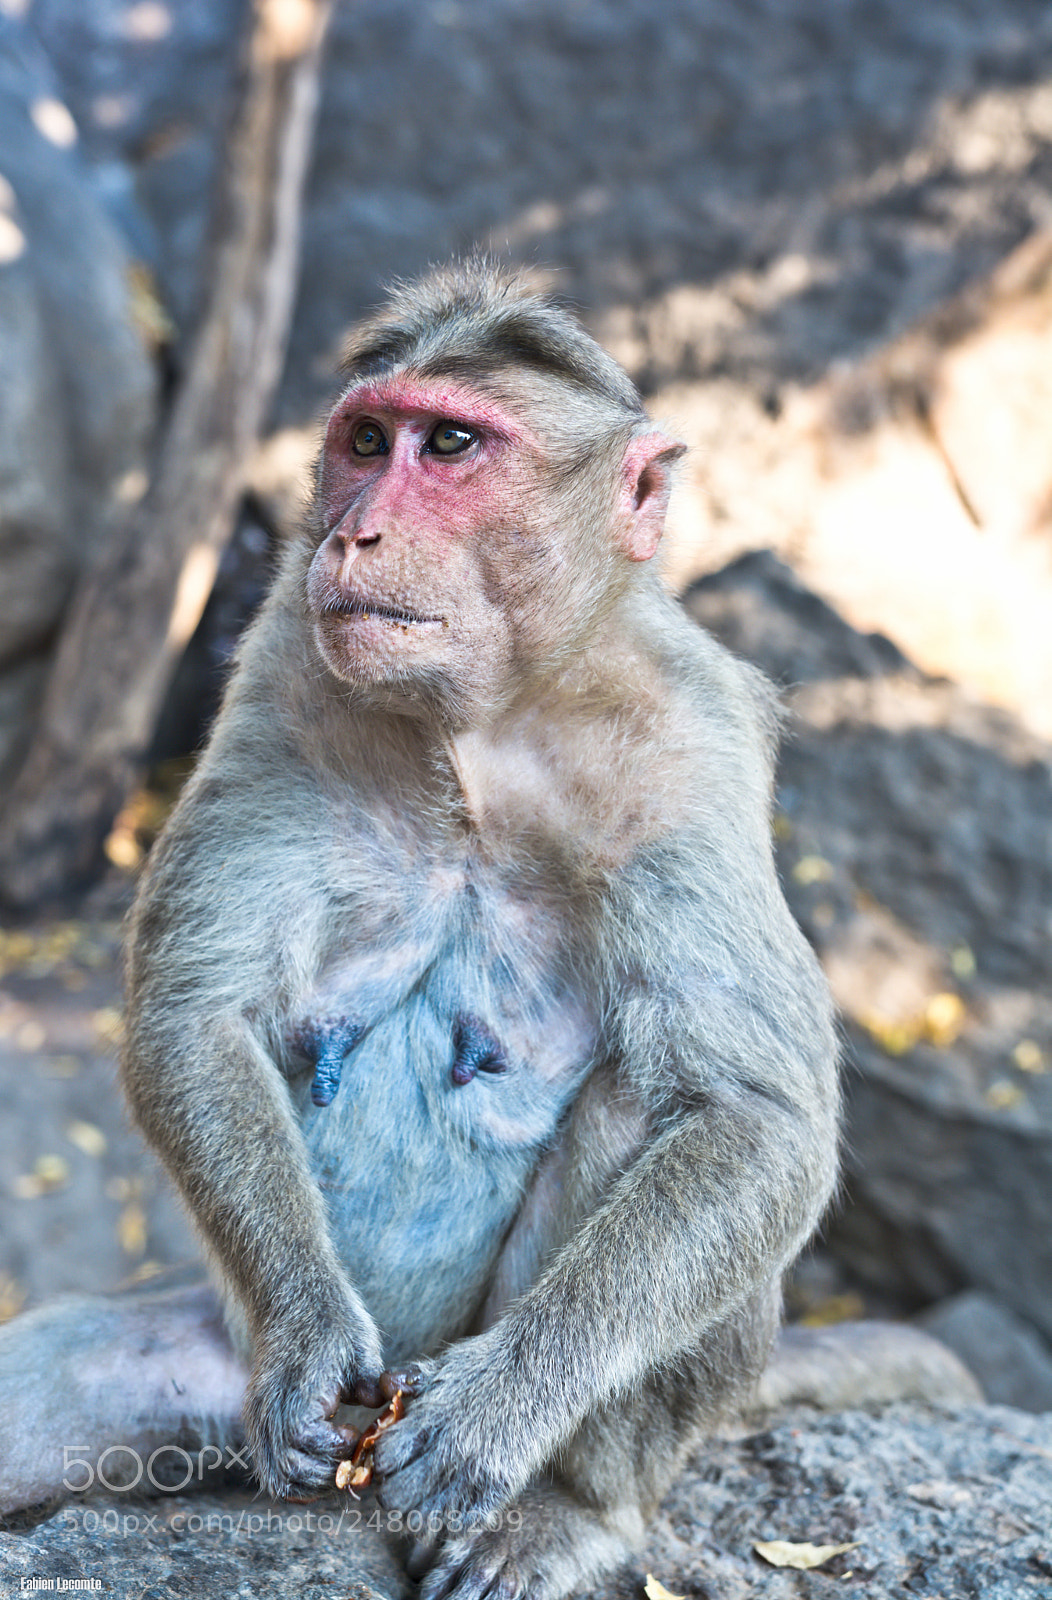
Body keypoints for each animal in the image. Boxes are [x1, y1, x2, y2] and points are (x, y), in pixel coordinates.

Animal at [0, 259, 847, 1596]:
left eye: (449, 444)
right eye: (364, 441)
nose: (353, 531)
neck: (482, 728)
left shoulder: (690, 747)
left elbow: (753, 1117)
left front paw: (501, 1408)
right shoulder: (279, 675)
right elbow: (196, 1013)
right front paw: (303, 1336)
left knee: (655, 1111)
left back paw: (566, 1509)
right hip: (209, 1365)